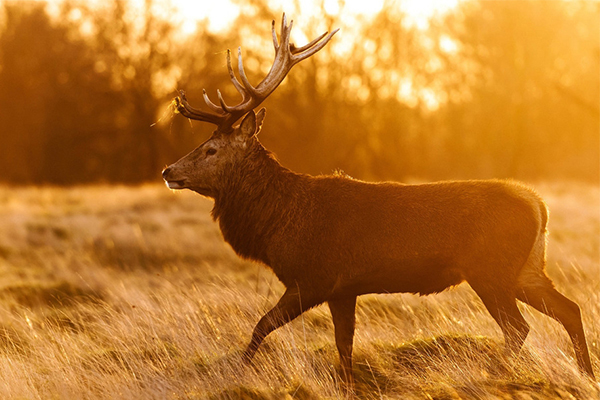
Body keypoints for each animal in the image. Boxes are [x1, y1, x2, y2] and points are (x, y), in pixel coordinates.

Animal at [162, 14, 596, 388]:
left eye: (212, 149)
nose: (168, 170)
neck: (279, 222)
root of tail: (538, 205)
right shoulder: (343, 288)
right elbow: (344, 347)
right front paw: (347, 387)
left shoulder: (314, 278)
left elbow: (261, 326)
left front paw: (238, 374)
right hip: (527, 268)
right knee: (569, 309)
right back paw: (585, 375)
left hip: (490, 269)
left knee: (519, 327)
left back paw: (495, 373)